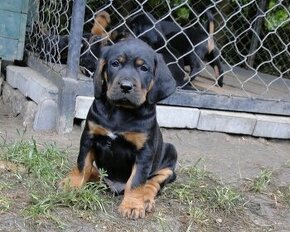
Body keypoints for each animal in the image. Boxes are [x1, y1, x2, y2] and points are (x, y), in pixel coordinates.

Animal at [61, 38, 177, 219]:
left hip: (170, 156)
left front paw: (133, 205)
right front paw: (73, 184)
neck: (121, 111)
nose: (126, 86)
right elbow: (83, 164)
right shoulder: (89, 137)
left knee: (152, 183)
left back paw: (146, 200)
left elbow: (137, 181)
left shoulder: (144, 151)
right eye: (115, 64)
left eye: (144, 68)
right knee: (93, 170)